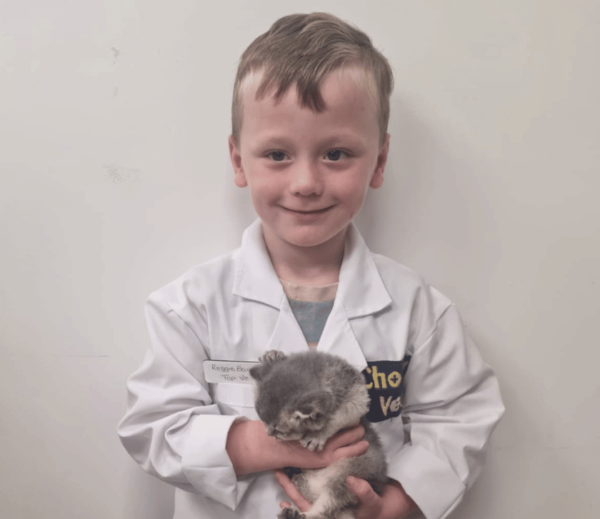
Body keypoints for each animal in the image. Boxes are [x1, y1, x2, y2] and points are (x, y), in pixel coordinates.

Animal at [250, 350, 386, 519]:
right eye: (263, 421)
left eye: (279, 432)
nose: (268, 434)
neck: (320, 374)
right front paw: (273, 356)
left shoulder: (356, 391)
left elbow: (346, 413)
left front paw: (320, 433)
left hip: (350, 474)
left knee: (329, 506)